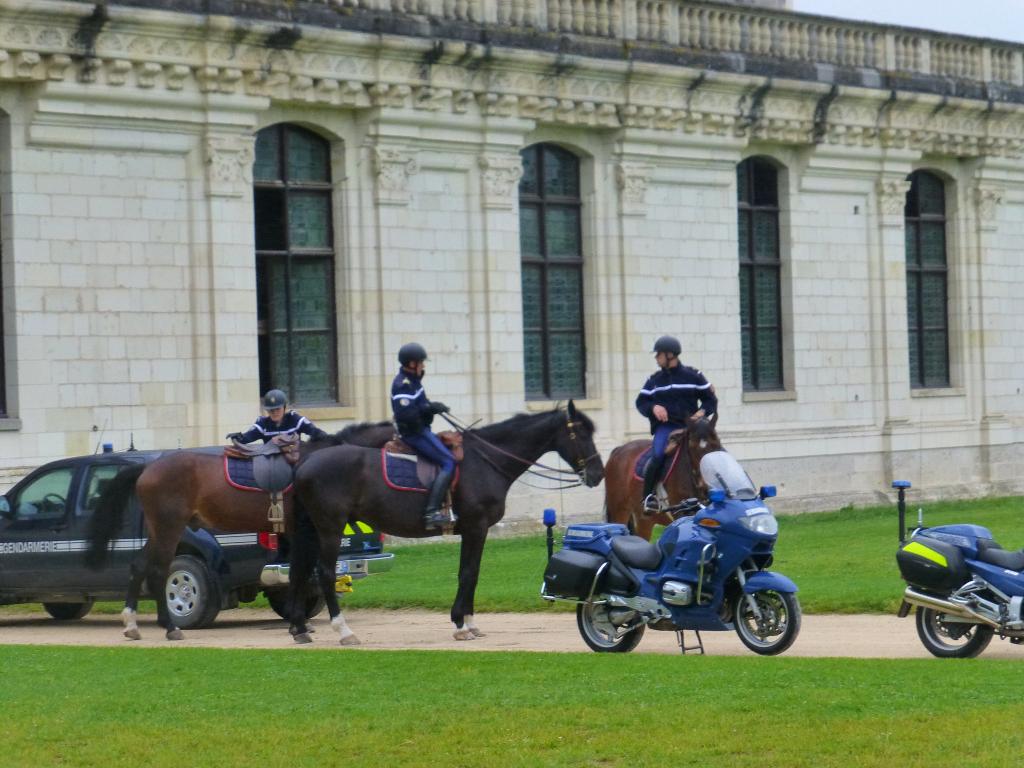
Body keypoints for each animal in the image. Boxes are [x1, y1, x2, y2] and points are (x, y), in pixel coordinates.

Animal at [86, 423, 391, 638]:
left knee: (139, 566)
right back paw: (170, 627)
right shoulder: (305, 533)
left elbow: (299, 574)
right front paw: (299, 625)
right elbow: (300, 573)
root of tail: (148, 467)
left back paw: (132, 624)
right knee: (159, 571)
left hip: (159, 529)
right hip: (169, 527)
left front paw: (298, 623)